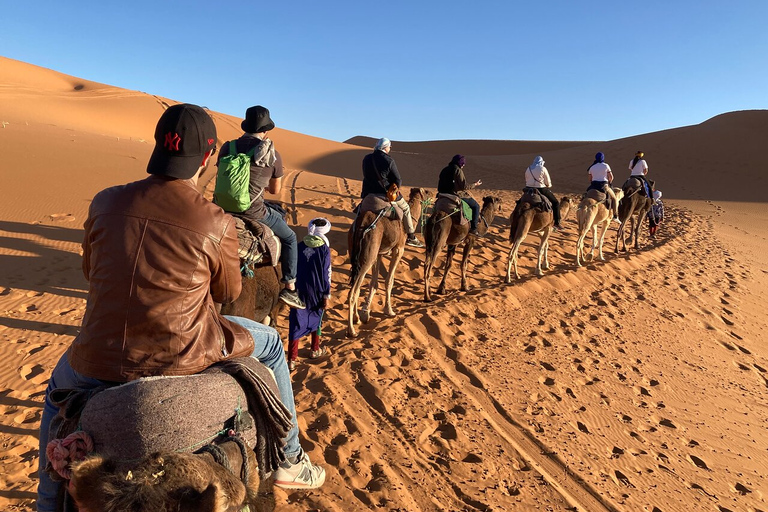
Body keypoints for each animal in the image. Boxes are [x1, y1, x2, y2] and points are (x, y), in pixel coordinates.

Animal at [346, 186, 428, 338]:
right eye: (426, 191)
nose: (433, 194)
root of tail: (361, 225)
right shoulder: (398, 249)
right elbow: (389, 280)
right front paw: (389, 310)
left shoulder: (379, 254)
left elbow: (374, 283)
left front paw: (365, 313)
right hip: (367, 257)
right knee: (352, 292)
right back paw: (351, 331)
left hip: (359, 252)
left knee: (357, 287)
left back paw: (357, 319)